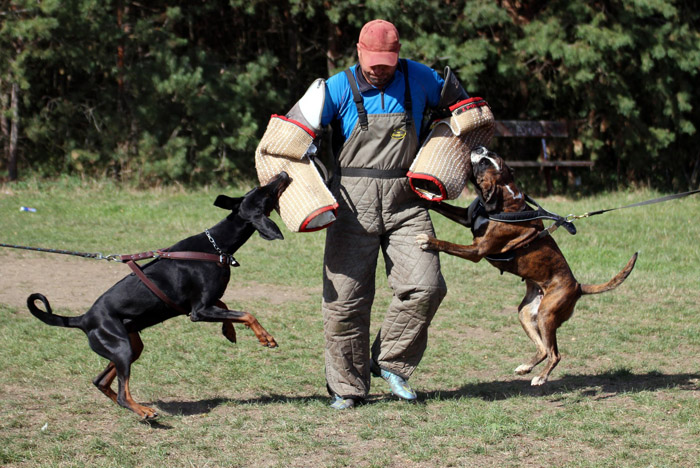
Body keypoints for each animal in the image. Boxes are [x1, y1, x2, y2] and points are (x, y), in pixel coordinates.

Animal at [28, 172, 290, 420]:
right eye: (264, 191)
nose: (284, 174)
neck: (216, 245)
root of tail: (84, 318)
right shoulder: (199, 311)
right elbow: (247, 314)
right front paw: (265, 337)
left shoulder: (204, 303)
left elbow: (226, 305)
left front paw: (229, 330)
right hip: (121, 346)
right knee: (122, 392)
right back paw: (144, 411)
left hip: (130, 345)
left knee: (100, 381)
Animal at [418, 148, 636, 386]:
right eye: (490, 154)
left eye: (484, 163)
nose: (480, 148)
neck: (503, 197)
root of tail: (578, 286)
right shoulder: (465, 217)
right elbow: (441, 206)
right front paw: (423, 196)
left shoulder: (476, 251)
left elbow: (448, 244)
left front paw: (430, 241)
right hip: (527, 314)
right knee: (543, 349)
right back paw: (526, 368)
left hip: (547, 315)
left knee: (555, 354)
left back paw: (541, 377)